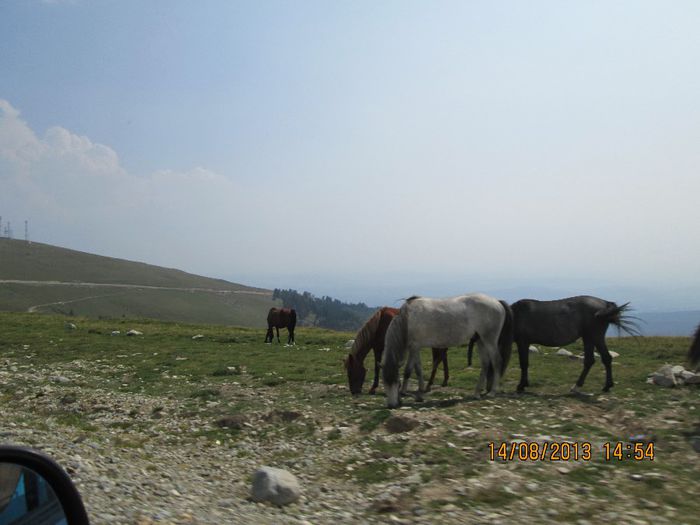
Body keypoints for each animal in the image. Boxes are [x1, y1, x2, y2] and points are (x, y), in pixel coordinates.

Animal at [382, 292, 516, 408]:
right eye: (384, 384)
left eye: (396, 383)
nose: (391, 405)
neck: (407, 319)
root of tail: (497, 301)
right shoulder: (416, 348)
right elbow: (418, 369)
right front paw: (420, 390)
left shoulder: (414, 347)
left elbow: (408, 371)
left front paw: (405, 392)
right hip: (480, 341)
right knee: (485, 363)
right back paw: (477, 393)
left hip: (489, 340)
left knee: (497, 361)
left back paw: (492, 392)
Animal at [508, 294, 640, 392]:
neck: (515, 316)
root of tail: (605, 303)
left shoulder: (523, 342)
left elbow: (524, 363)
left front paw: (521, 385)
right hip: (588, 338)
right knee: (590, 361)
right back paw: (579, 386)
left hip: (595, 336)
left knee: (606, 358)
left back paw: (605, 386)